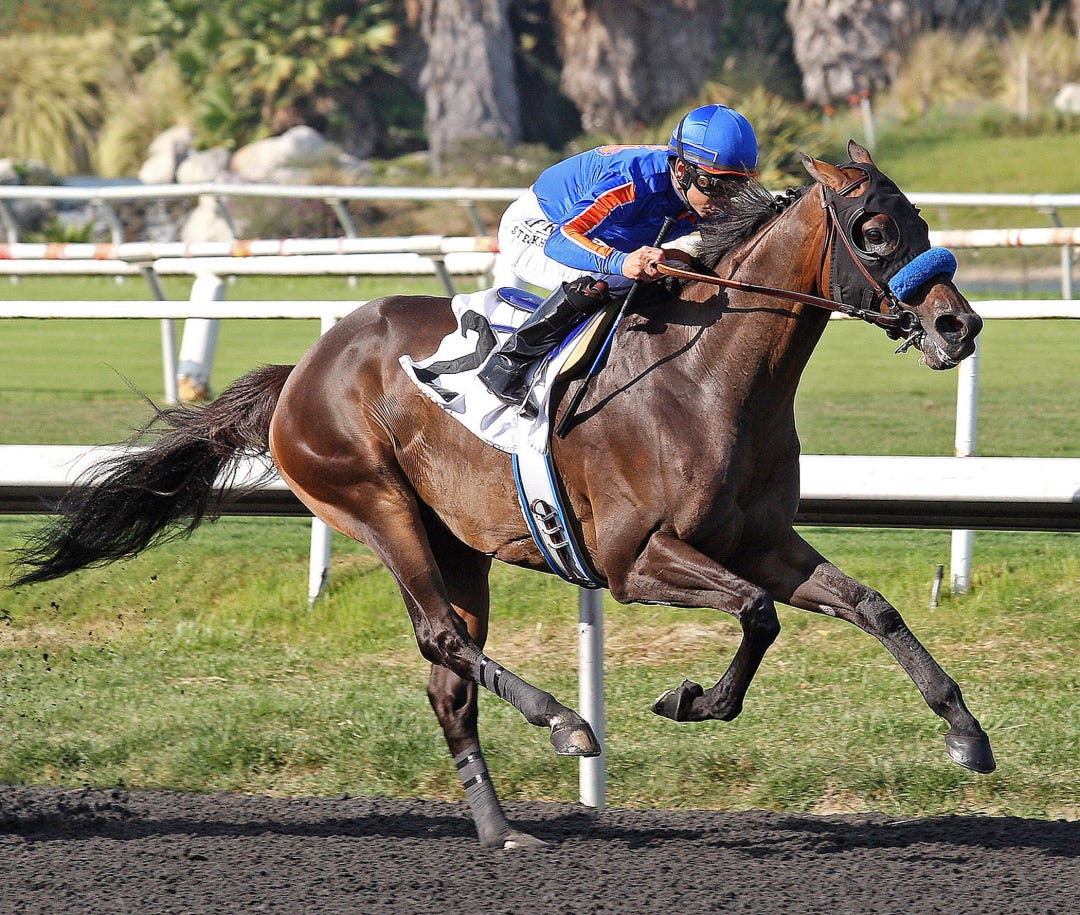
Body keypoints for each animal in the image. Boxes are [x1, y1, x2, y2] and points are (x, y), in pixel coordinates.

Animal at [12, 141, 992, 849]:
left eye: (919, 219)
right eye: (874, 230)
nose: (959, 324)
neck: (708, 378)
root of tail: (301, 371)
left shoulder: (759, 539)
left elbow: (869, 605)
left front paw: (966, 733)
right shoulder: (635, 559)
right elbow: (757, 613)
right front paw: (691, 700)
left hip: (458, 546)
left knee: (449, 677)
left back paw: (499, 827)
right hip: (374, 504)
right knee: (443, 638)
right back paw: (565, 722)